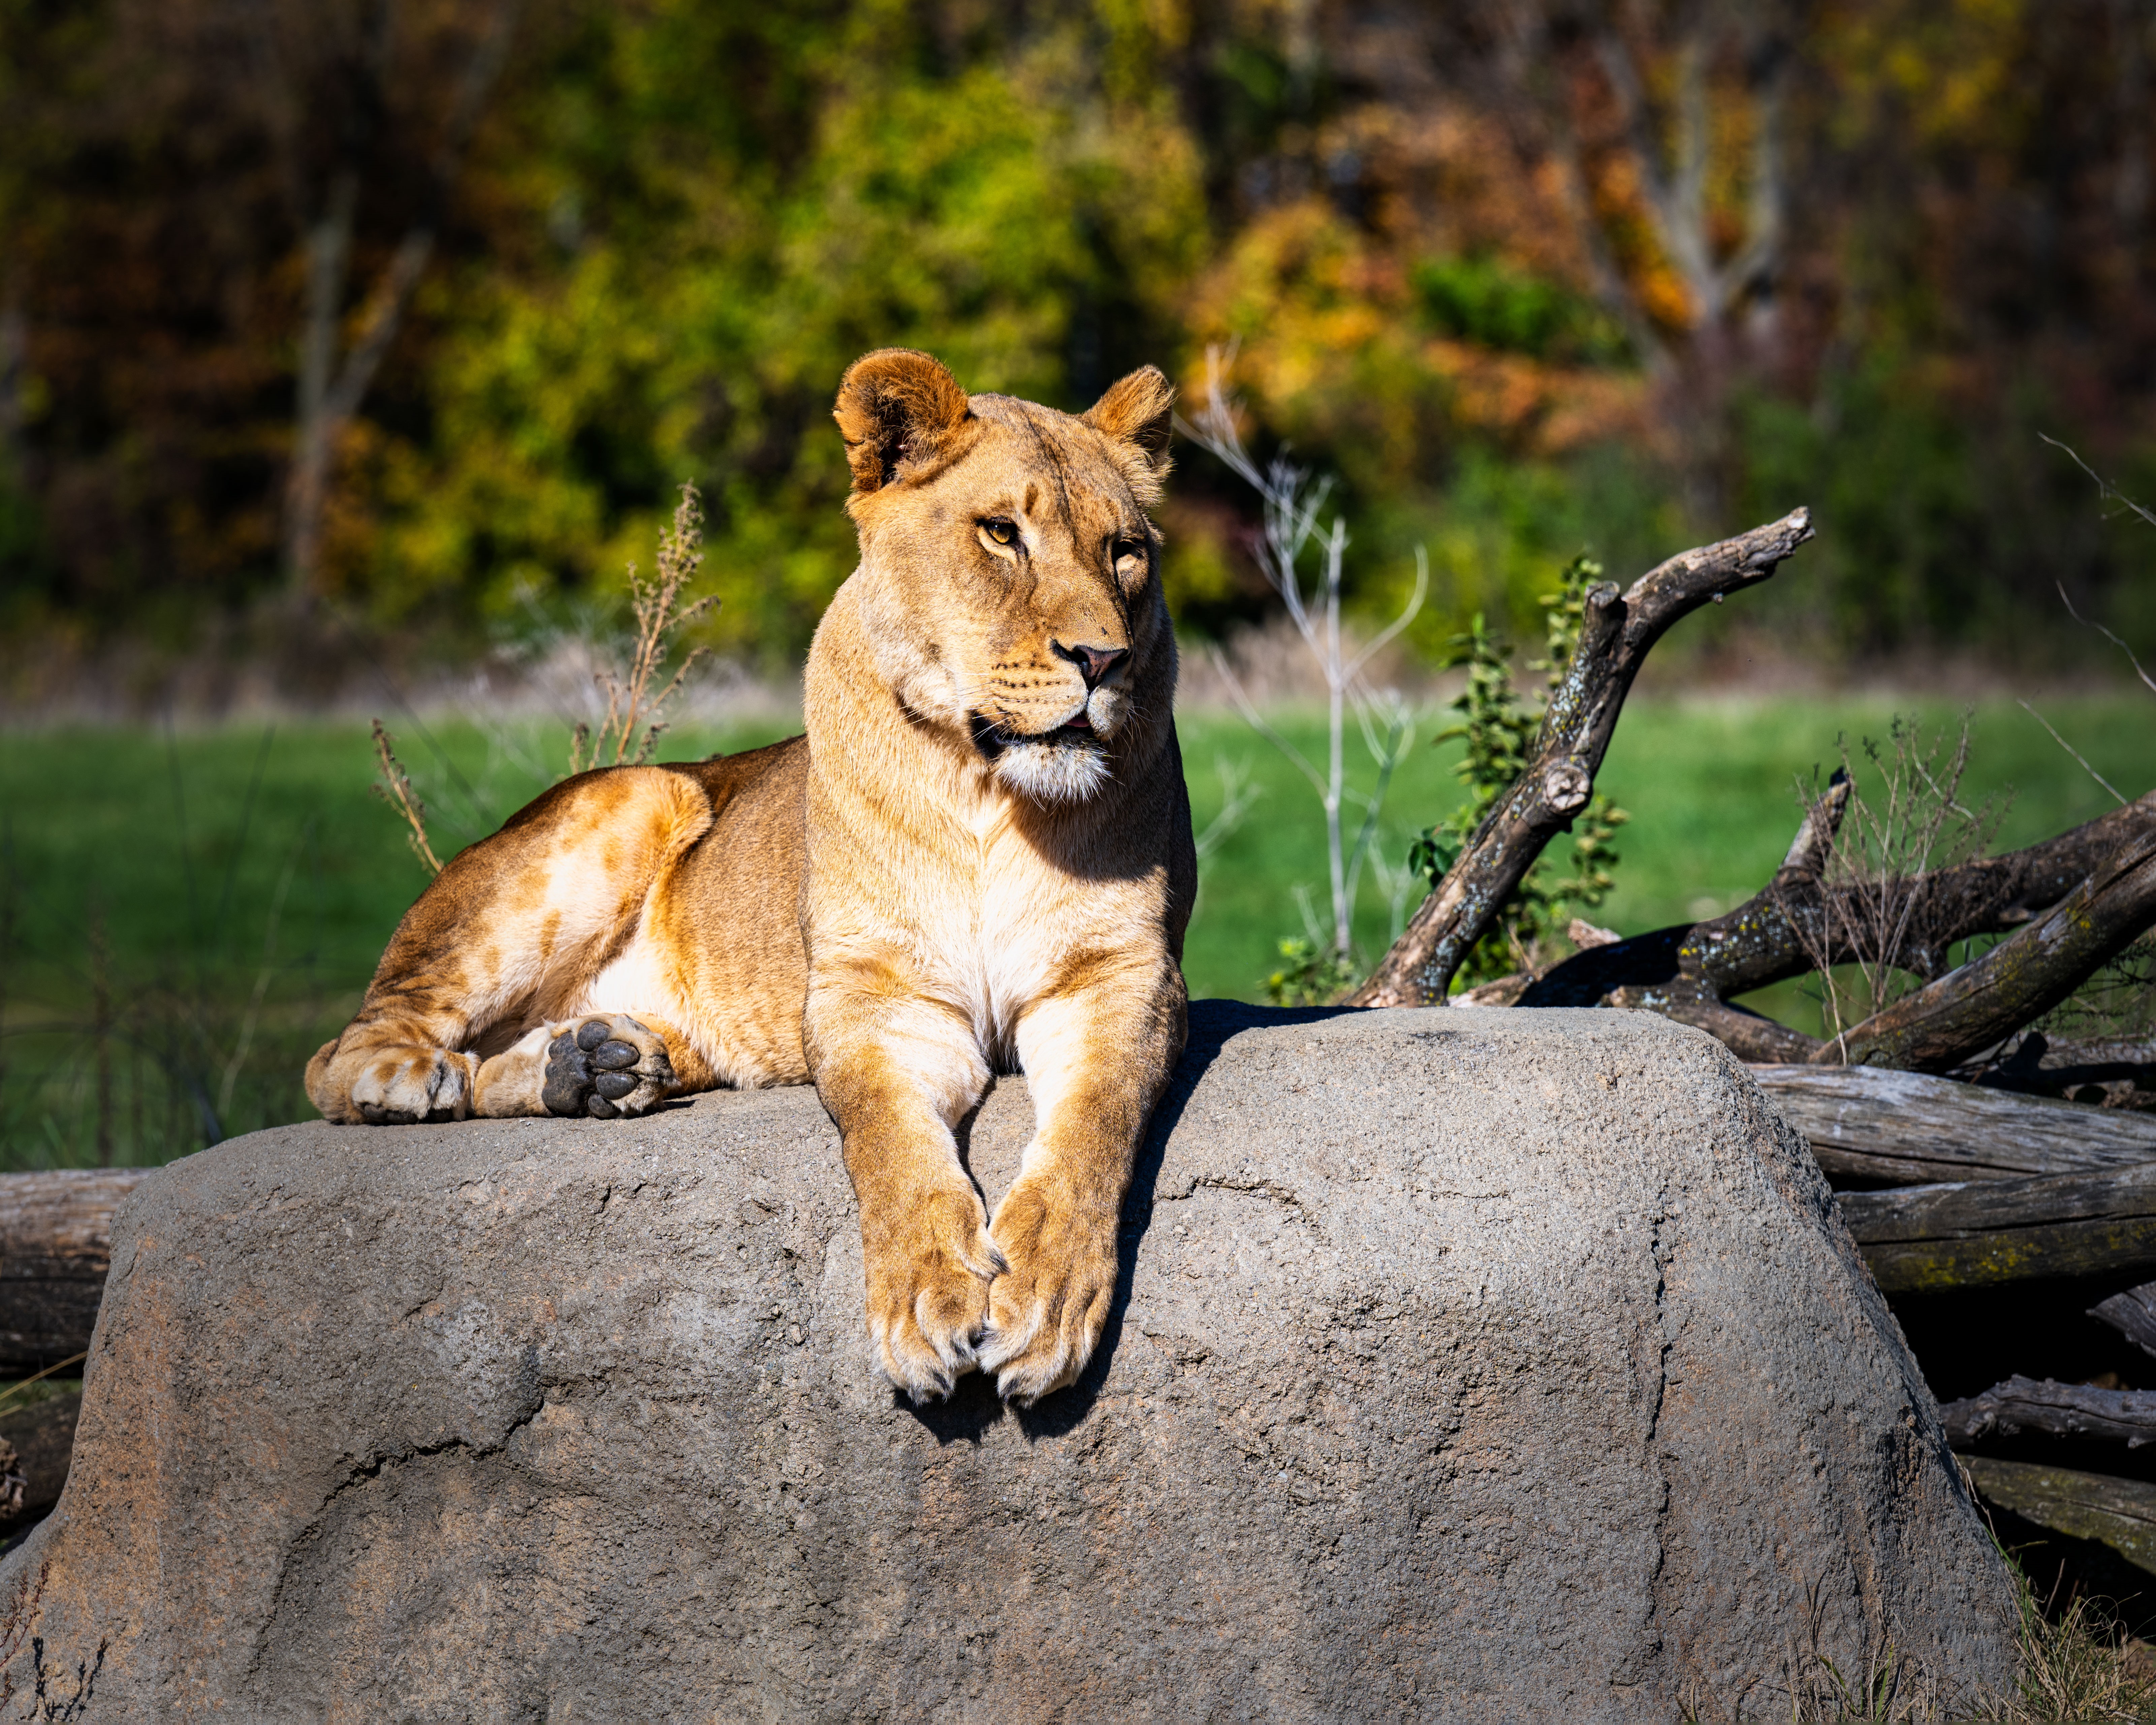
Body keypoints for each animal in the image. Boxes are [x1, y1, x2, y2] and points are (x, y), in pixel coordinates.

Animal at [305, 348, 1196, 1406]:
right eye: (1000, 533)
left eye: (1125, 552)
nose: (1101, 659)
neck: (988, 791)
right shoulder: (872, 996)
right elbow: (892, 1146)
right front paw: (929, 1300)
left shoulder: (1118, 975)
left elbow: (1093, 1130)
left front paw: (1045, 1297)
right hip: (638, 794)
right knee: (346, 1049)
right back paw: (415, 1078)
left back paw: (591, 1069)